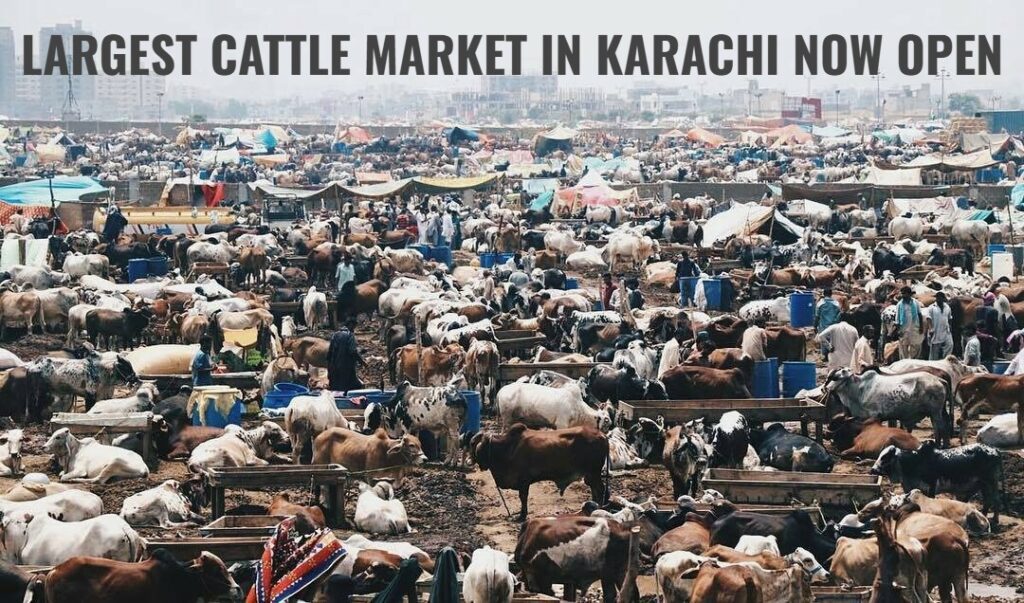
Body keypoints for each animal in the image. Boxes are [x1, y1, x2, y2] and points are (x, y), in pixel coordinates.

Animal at [470, 424, 608, 521]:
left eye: (473, 445)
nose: (469, 461)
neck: (507, 447)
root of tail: (602, 435)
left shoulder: (523, 481)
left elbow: (523, 498)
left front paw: (522, 516)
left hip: (594, 472)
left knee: (600, 489)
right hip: (591, 475)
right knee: (595, 489)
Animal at [872, 441, 1004, 527]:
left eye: (885, 457)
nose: (873, 469)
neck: (913, 462)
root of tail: (995, 450)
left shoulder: (931, 487)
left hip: (991, 482)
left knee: (996, 499)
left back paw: (995, 520)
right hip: (983, 484)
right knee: (988, 500)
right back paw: (985, 515)